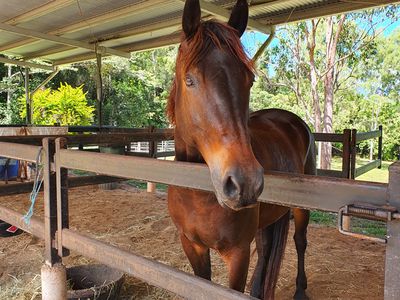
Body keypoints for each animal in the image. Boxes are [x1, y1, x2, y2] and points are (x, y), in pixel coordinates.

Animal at [166, 1, 316, 298]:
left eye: (250, 80)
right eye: (190, 80)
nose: (244, 182)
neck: (196, 193)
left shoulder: (237, 254)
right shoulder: (192, 245)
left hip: (300, 209)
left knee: (300, 241)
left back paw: (300, 290)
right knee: (267, 249)